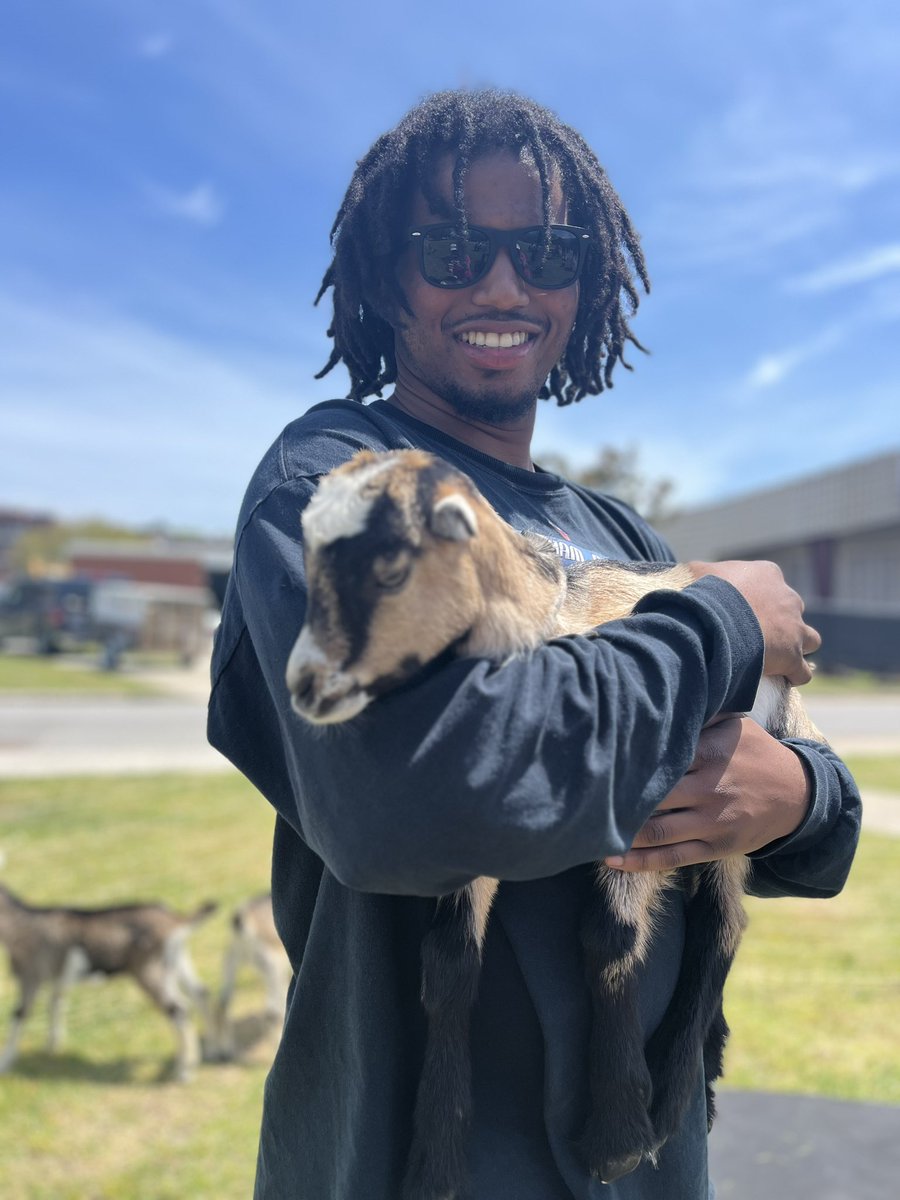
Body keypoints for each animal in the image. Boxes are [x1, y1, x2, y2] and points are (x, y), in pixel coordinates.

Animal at [0, 873, 216, 1082]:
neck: (20, 923)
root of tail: (175, 921)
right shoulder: (57, 978)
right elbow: (55, 1004)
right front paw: (52, 1046)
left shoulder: (30, 974)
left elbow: (19, 1013)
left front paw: (5, 1062)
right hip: (176, 961)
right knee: (200, 993)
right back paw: (213, 1049)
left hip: (150, 969)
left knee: (179, 1010)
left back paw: (184, 1072)